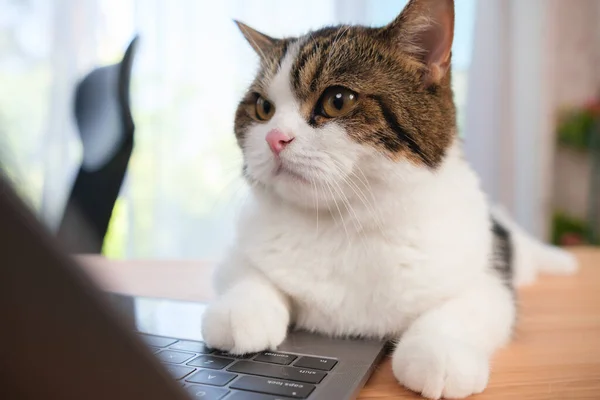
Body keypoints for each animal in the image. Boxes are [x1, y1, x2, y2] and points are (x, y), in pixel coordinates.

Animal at [200, 0, 576, 396]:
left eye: (337, 100)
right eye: (263, 108)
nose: (275, 139)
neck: (342, 223)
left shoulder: (486, 278)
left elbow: (463, 308)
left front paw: (439, 352)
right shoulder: (241, 250)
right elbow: (249, 273)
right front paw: (240, 311)